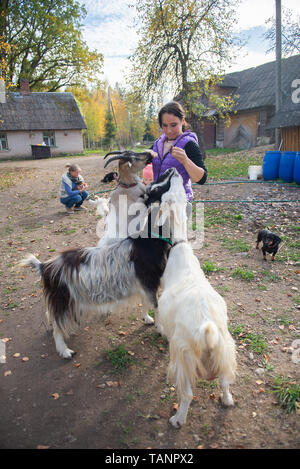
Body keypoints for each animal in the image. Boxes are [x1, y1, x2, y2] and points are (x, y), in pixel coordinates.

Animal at [18, 168, 176, 358]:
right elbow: (156, 306)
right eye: (155, 188)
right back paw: (65, 351)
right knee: (58, 327)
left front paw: (146, 319)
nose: (171, 169)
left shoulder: (144, 284)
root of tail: (44, 266)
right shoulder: (150, 282)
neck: (149, 241)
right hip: (64, 301)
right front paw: (161, 330)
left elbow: (146, 302)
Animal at [154, 169, 238, 428]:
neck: (180, 247)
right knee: (225, 381)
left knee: (187, 394)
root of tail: (206, 331)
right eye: (178, 192)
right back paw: (227, 400)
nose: (174, 172)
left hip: (183, 356)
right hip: (225, 350)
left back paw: (177, 419)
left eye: (168, 193)